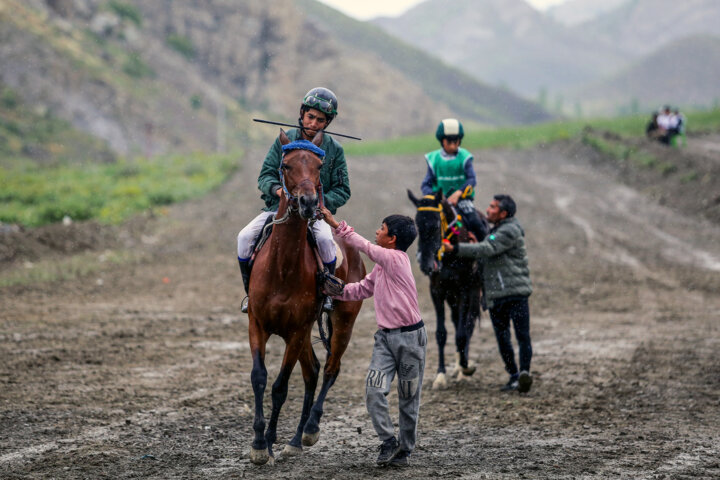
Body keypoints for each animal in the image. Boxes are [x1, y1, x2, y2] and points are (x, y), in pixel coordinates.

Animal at [246, 128, 366, 464]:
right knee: (312, 371)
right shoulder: (258, 323)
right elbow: (259, 377)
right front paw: (259, 443)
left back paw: (309, 430)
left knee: (329, 369)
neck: (282, 267)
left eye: (318, 166)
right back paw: (296, 439)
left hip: (342, 321)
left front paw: (267, 441)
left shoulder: (298, 329)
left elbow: (280, 386)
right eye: (286, 165)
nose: (309, 202)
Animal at [408, 189, 486, 388]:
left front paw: (466, 368)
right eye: (417, 225)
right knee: (456, 320)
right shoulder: (437, 291)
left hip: (473, 292)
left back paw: (462, 368)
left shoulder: (465, 290)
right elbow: (441, 333)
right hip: (452, 297)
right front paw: (440, 376)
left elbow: (462, 333)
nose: (425, 263)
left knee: (468, 324)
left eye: (436, 225)